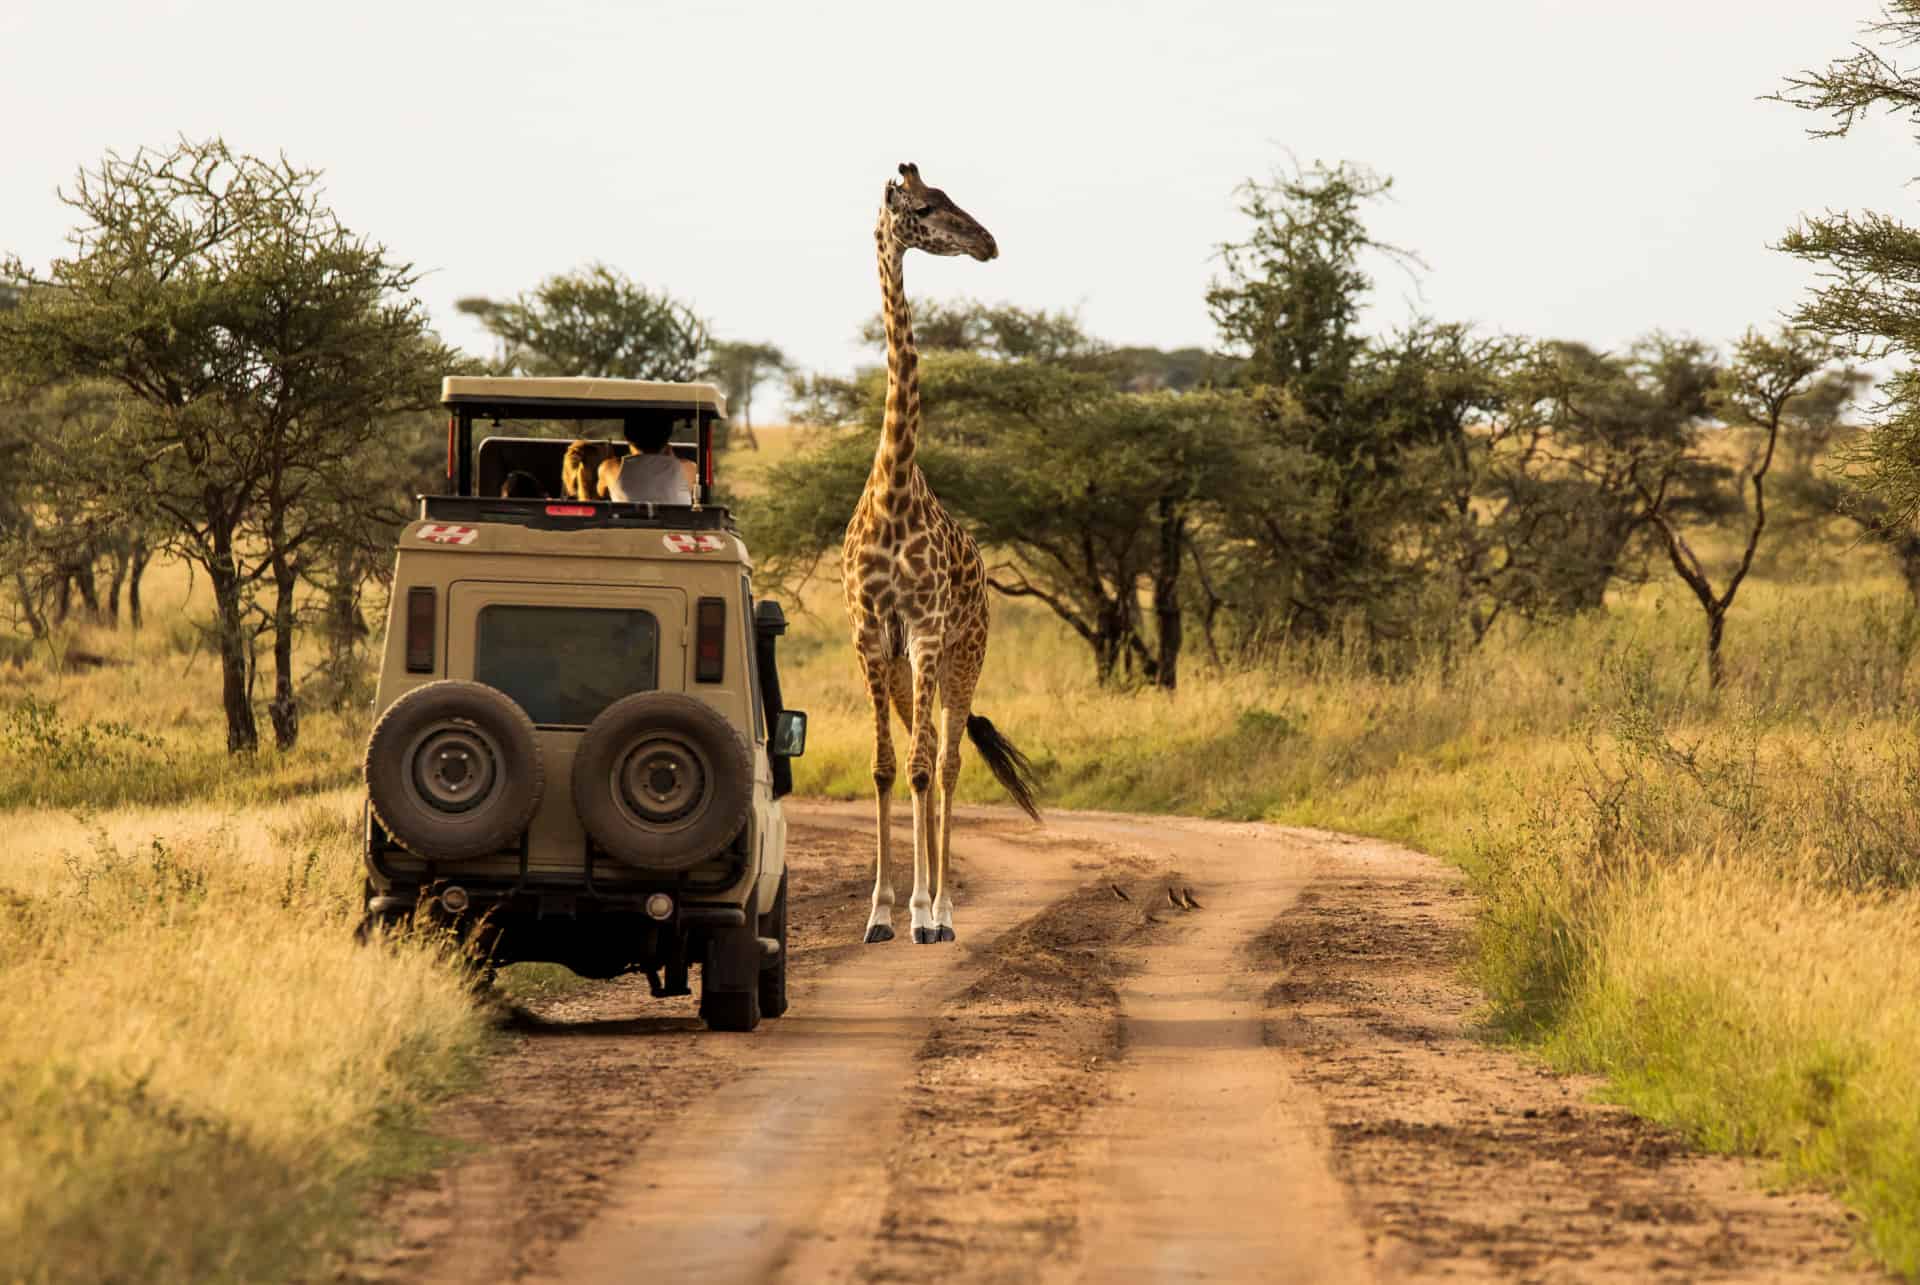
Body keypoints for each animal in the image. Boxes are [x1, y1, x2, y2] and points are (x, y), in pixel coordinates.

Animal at [848, 160, 1044, 941]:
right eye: (926, 207)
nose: (988, 242)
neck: (894, 488)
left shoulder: (928, 631)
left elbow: (927, 767)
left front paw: (924, 913)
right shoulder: (873, 635)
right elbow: (884, 766)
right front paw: (879, 913)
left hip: (966, 655)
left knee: (952, 758)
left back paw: (946, 910)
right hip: (910, 668)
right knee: (924, 752)